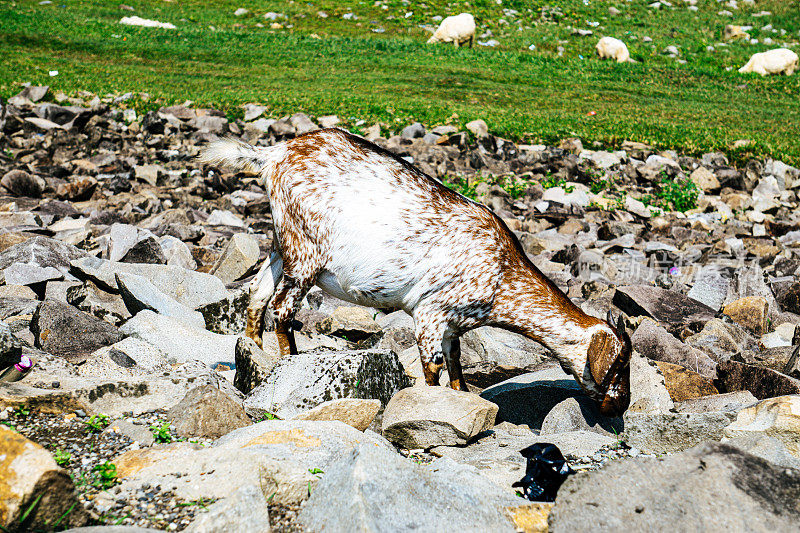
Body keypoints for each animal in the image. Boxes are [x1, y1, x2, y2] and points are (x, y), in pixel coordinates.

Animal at [202, 128, 632, 416]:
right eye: (619, 365)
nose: (621, 406)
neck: (501, 272)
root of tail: (274, 153)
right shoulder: (431, 312)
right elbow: (433, 368)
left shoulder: (454, 325)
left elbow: (457, 369)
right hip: (306, 250)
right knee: (282, 308)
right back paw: (291, 361)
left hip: (283, 242)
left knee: (258, 291)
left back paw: (254, 351)